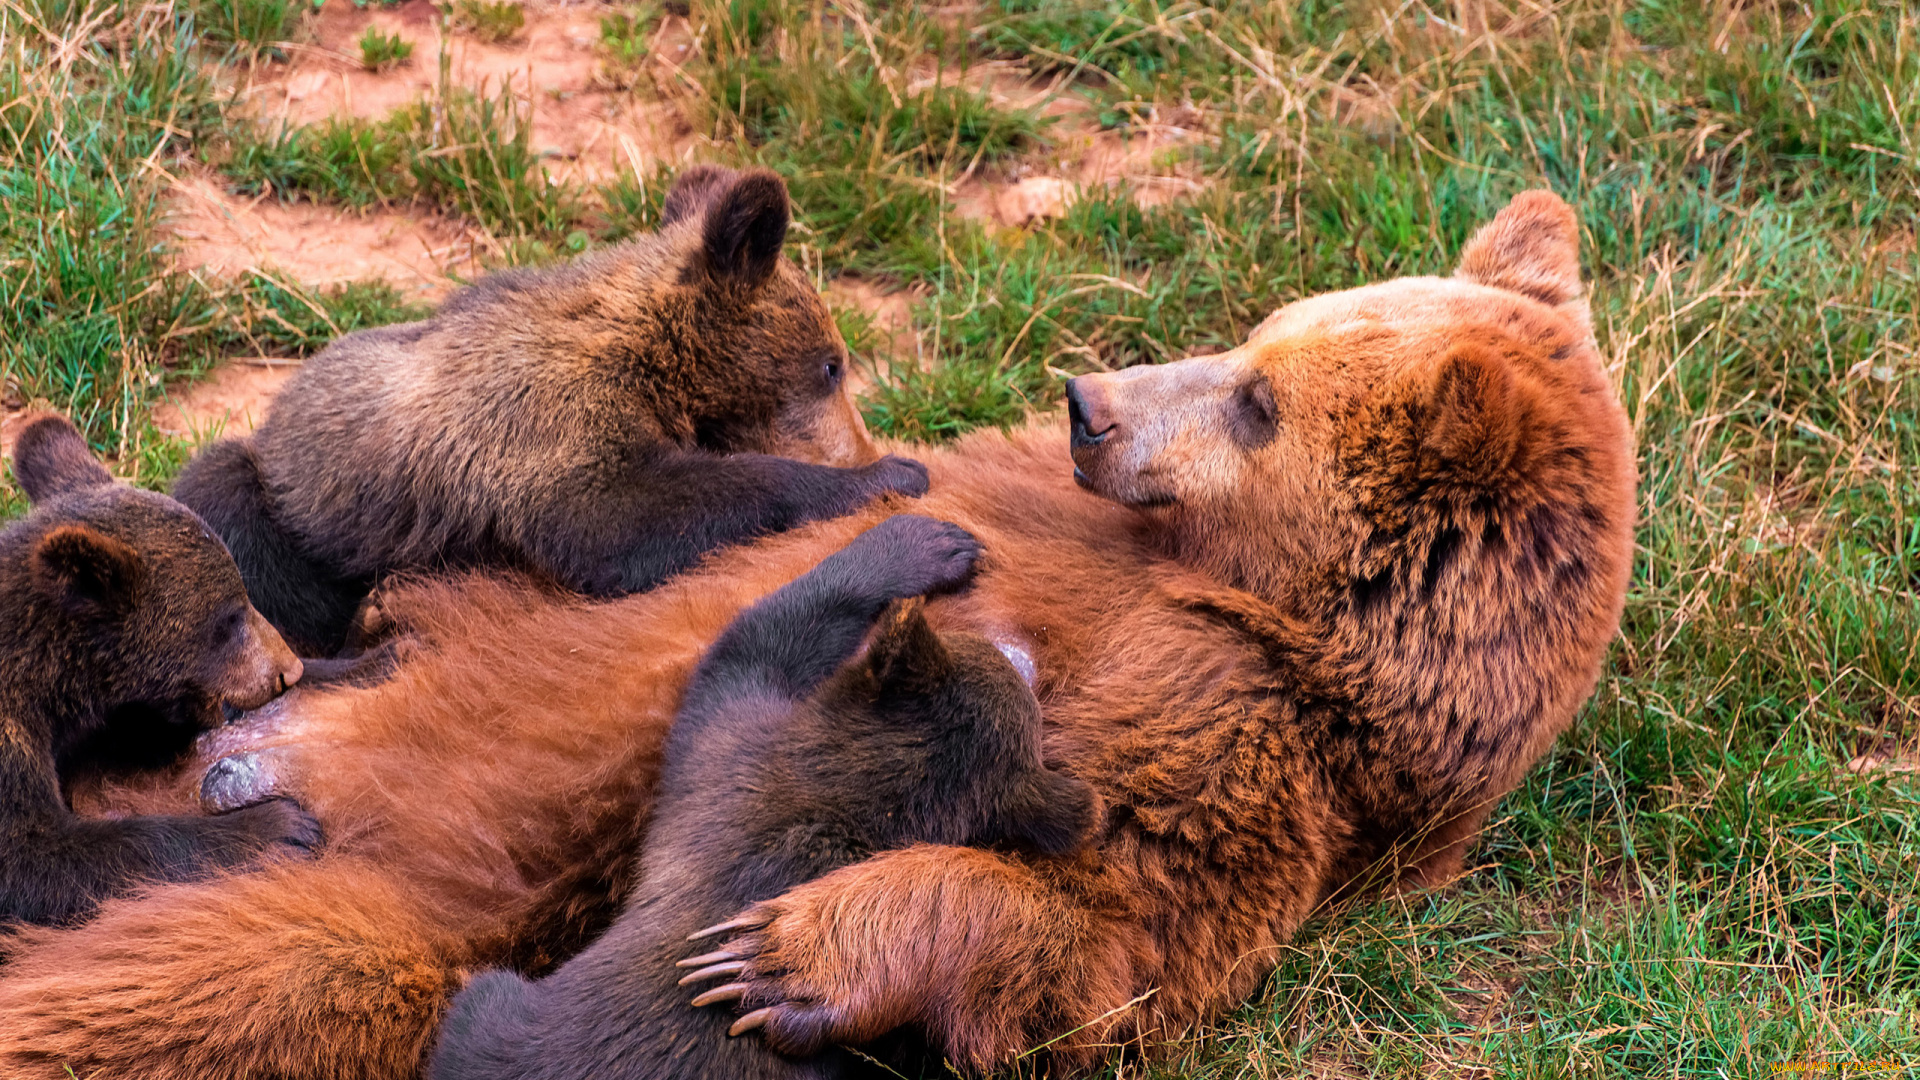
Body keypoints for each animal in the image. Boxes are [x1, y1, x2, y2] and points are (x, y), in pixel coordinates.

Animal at [168, 164, 933, 653]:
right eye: (832, 365)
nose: (862, 446)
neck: (655, 364)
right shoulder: (541, 421)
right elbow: (616, 519)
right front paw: (890, 474)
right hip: (286, 499)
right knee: (233, 518)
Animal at [428, 511, 1105, 1076]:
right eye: (997, 659)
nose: (1022, 652)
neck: (858, 791)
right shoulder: (724, 766)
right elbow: (759, 642)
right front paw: (930, 539)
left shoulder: (721, 748)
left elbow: (752, 641)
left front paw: (925, 539)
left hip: (492, 1018)